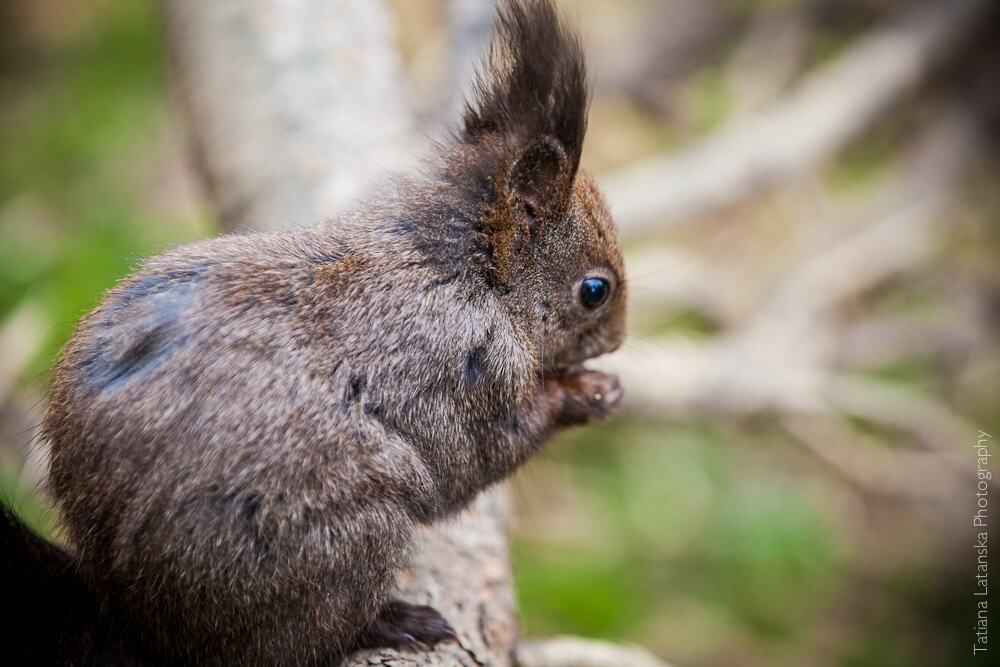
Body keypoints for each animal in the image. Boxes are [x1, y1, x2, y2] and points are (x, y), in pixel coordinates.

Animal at [0, 0, 626, 664]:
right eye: (595, 290)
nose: (616, 339)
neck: (459, 269)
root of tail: (138, 624)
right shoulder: (460, 370)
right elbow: (480, 455)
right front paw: (583, 394)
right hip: (340, 535)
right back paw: (391, 623)